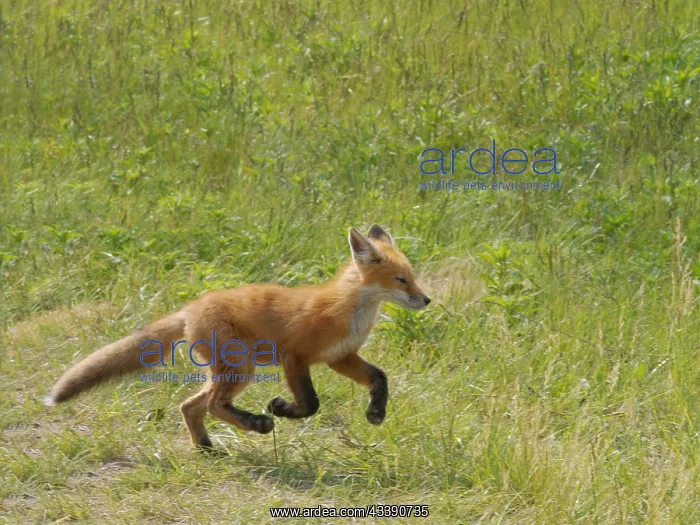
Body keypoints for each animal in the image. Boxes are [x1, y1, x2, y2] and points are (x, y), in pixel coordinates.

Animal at [46, 224, 431, 450]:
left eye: (412, 277)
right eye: (400, 280)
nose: (426, 300)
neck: (347, 310)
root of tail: (191, 307)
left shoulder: (340, 357)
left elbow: (379, 377)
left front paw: (376, 412)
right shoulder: (295, 357)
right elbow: (310, 404)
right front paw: (281, 408)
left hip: (229, 372)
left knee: (191, 405)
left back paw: (206, 446)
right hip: (242, 368)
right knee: (213, 405)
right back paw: (255, 423)